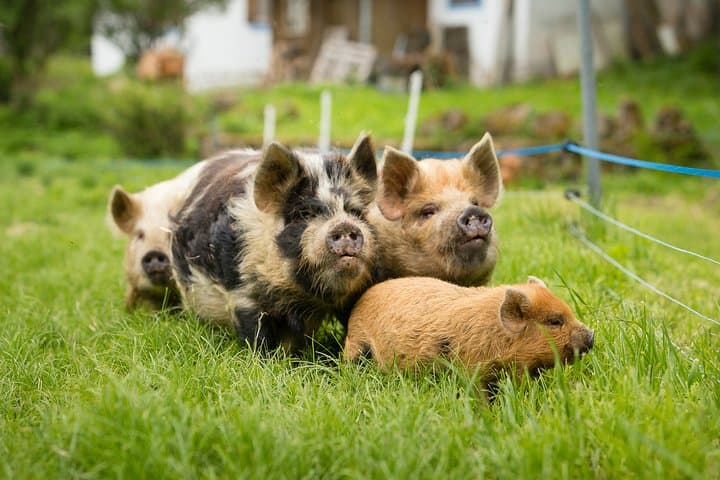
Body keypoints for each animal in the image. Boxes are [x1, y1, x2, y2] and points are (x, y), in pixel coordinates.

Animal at [170, 134, 378, 353]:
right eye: (304, 214)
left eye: (355, 212)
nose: (345, 225)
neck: (300, 300)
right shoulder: (242, 292)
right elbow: (256, 333)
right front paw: (265, 359)